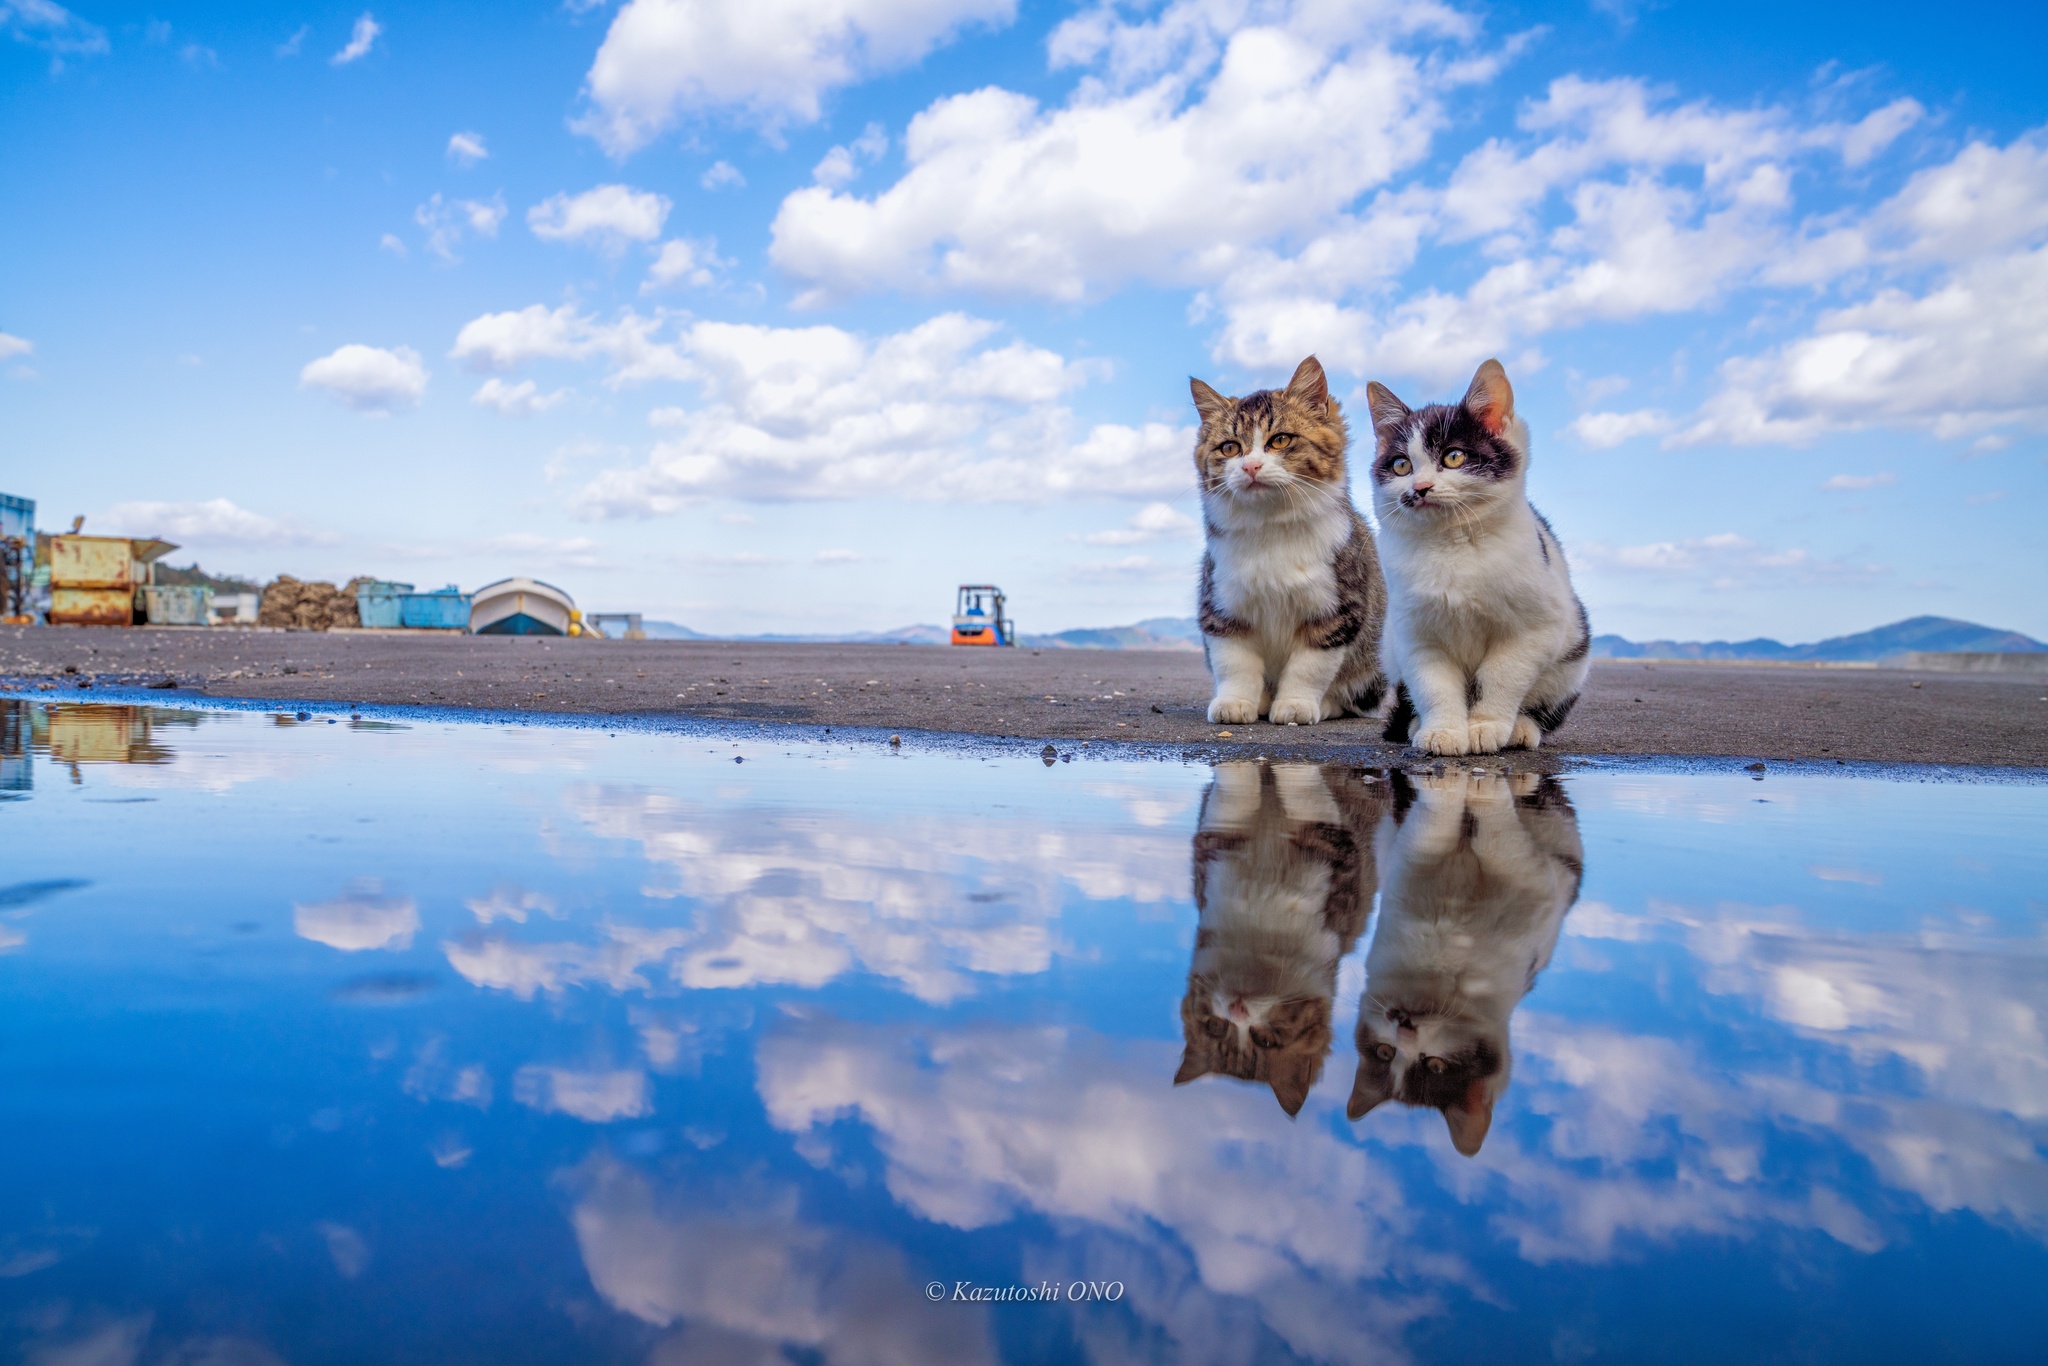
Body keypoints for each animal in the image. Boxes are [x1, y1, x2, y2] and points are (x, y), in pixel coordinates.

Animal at [1179, 765, 1384, 1114]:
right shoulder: (1216, 842)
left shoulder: (1332, 847)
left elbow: (1303, 791)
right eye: (1216, 1028)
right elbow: (1236, 793)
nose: (1237, 1009)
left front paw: (1295, 769)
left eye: (1265, 1040)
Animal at [1196, 358, 1384, 733]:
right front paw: (1235, 702)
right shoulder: (1223, 607)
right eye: (1230, 448)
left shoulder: (1334, 611)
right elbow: (1235, 663)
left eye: (1280, 440)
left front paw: (1295, 705)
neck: (1270, 527)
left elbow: (1309, 668)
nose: (1251, 466)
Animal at [1343, 770, 1581, 1155]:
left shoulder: (1527, 876)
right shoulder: (1413, 854)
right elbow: (1433, 826)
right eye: (1384, 1052)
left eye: (1436, 1066)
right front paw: (1446, 787)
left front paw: (1484, 786)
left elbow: (1498, 843)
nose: (1404, 1025)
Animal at [1368, 358, 1589, 757]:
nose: (1419, 488)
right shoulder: (1415, 635)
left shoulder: (1536, 628)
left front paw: (1486, 726)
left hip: (1572, 659)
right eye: (1401, 466)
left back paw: (1522, 728)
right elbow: (1434, 684)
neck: (1452, 547)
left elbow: (1501, 676)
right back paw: (1415, 724)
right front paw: (1443, 730)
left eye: (1454, 456)